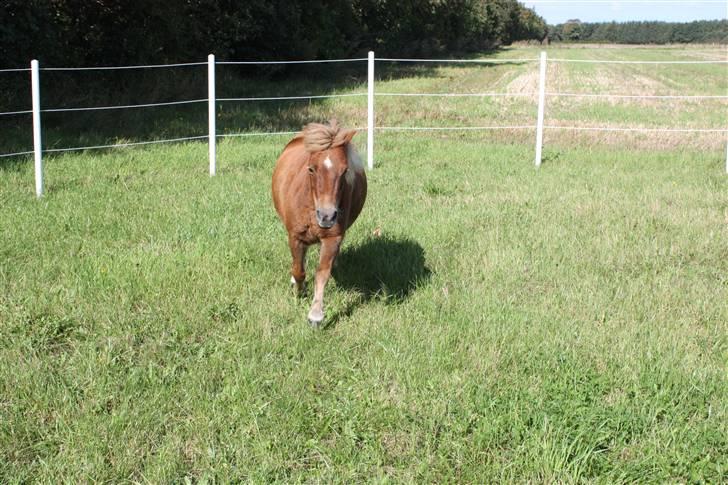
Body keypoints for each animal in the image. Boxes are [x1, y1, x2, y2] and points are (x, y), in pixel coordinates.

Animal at [272, 120, 366, 326]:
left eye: (345, 170)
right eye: (311, 169)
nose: (327, 216)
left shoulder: (332, 238)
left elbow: (322, 274)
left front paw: (315, 314)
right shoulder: (296, 237)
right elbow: (299, 270)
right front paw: (299, 292)